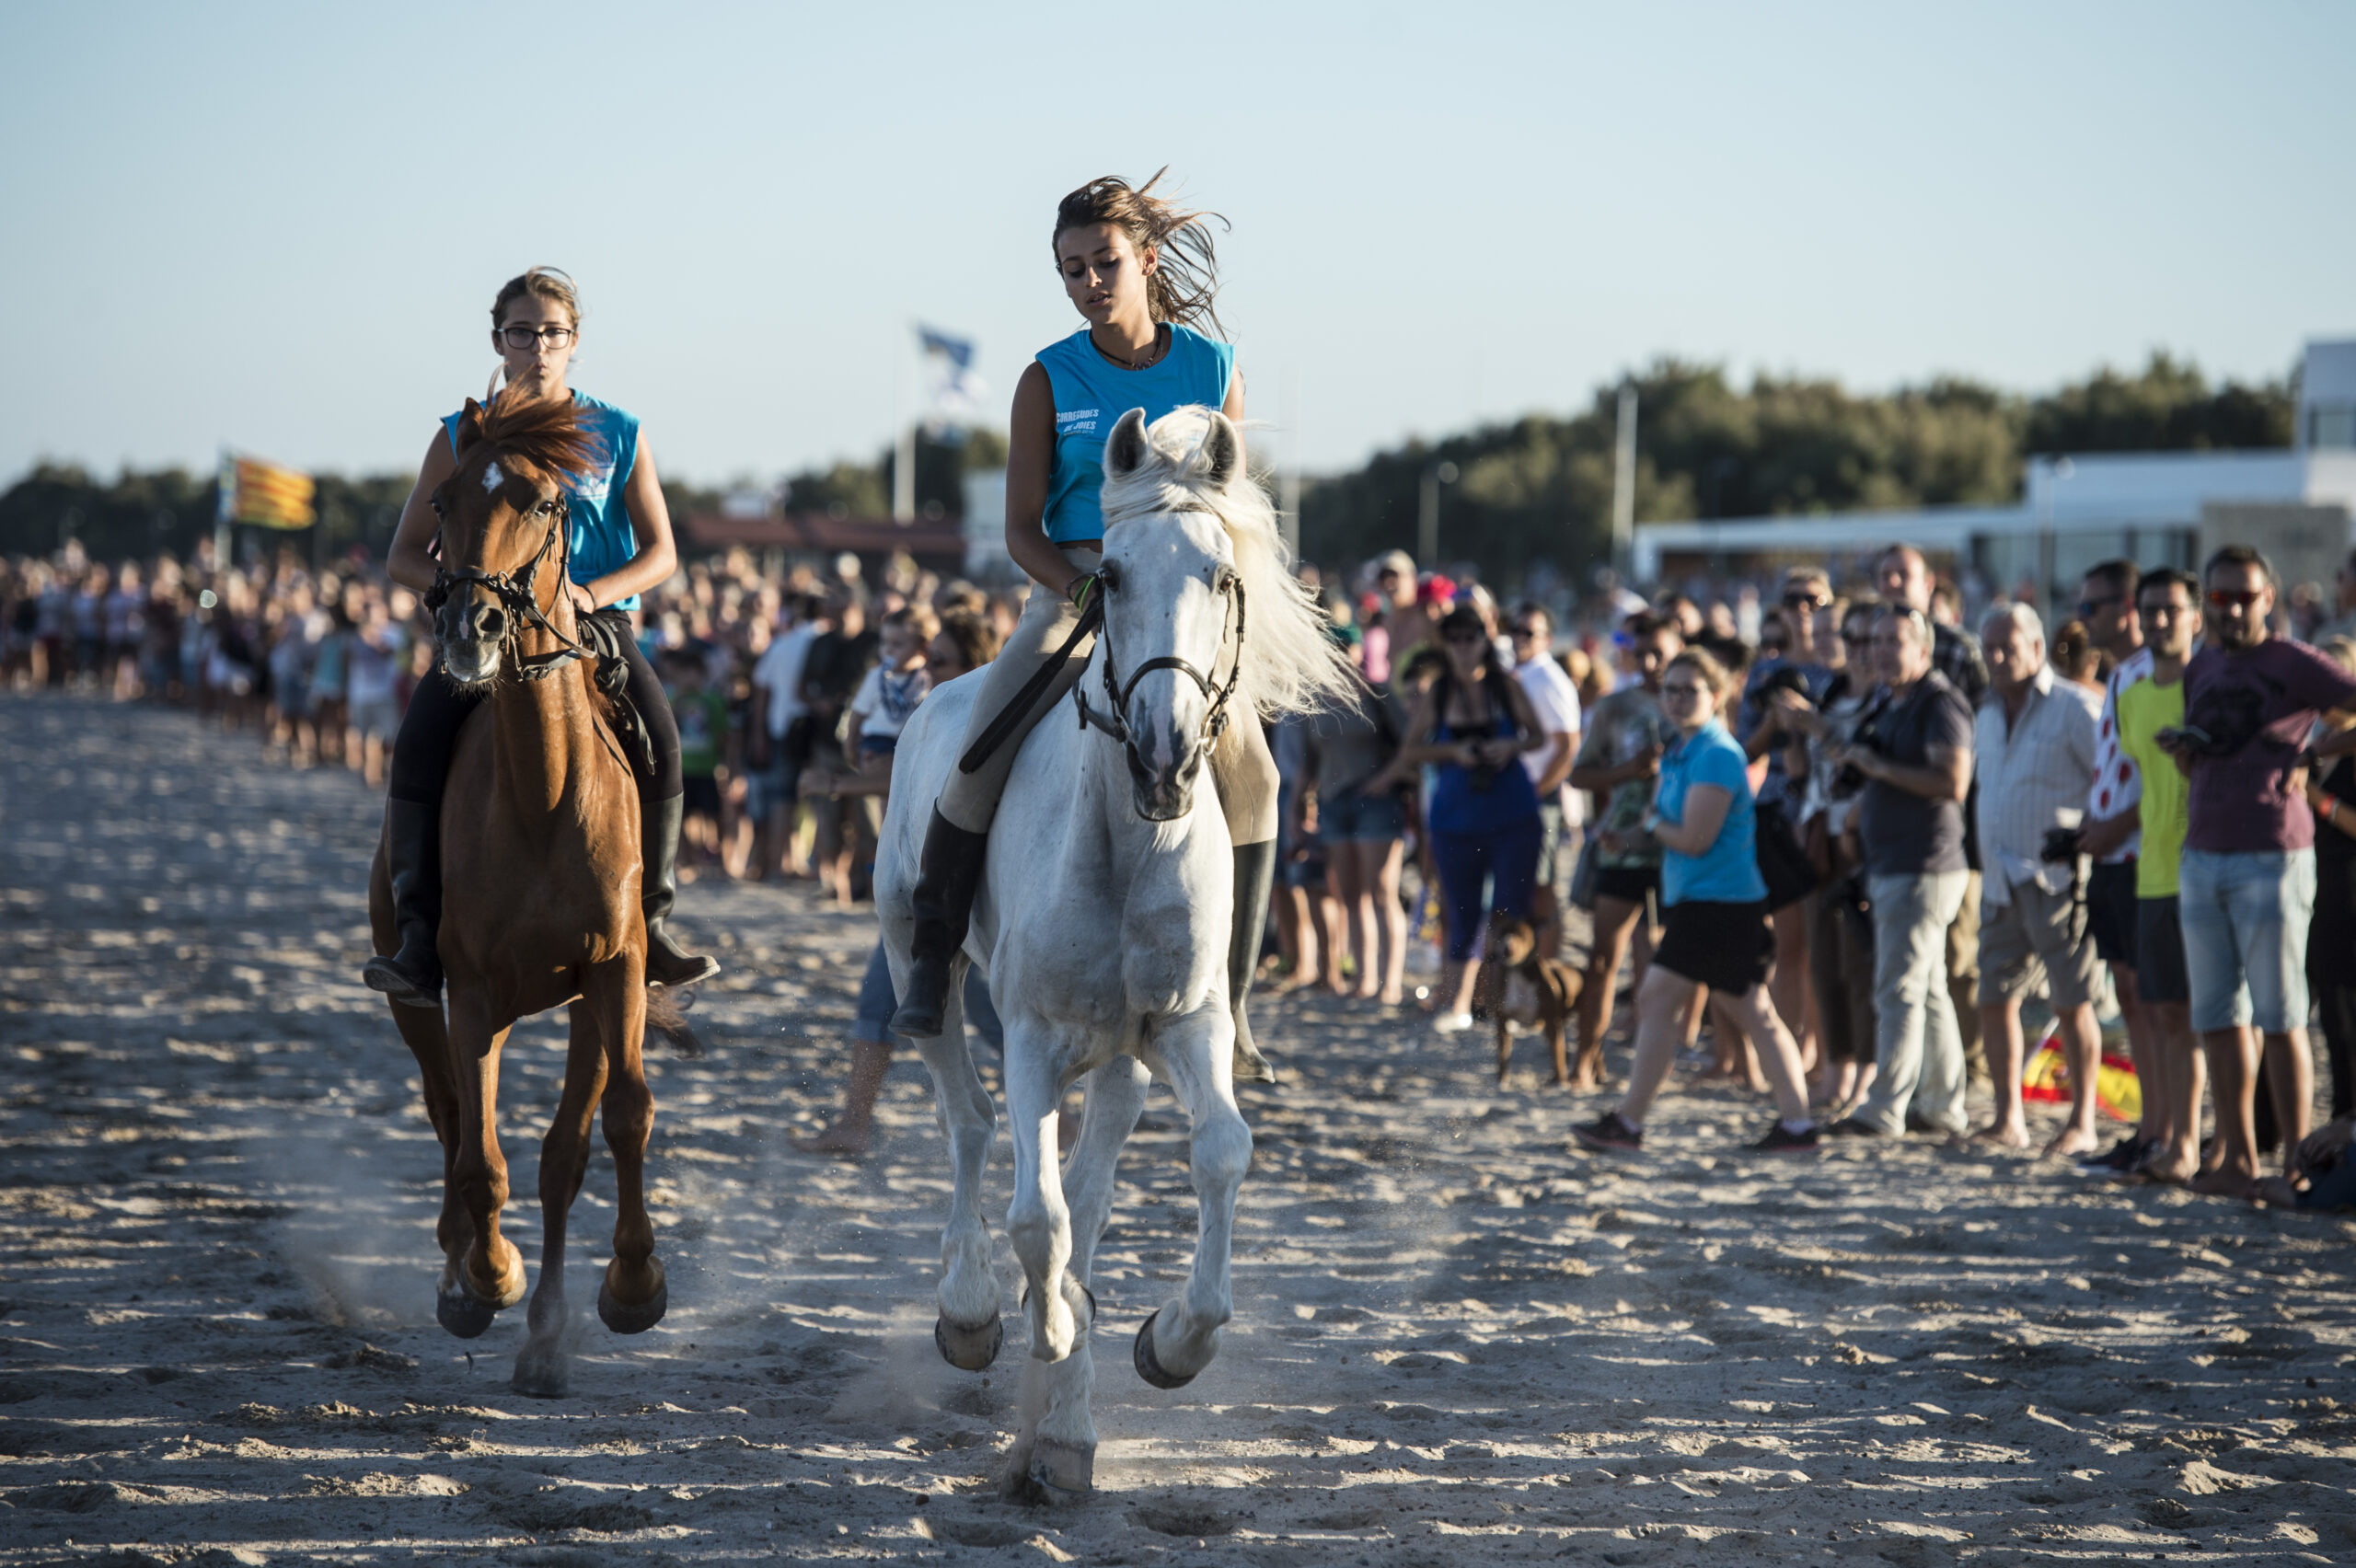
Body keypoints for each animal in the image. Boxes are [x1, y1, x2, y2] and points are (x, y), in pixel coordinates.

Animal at [367, 390, 692, 1393]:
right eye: (441, 503)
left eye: (548, 504)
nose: (470, 629)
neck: (545, 796)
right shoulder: (469, 991)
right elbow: (479, 1159)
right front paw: (487, 1276)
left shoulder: (615, 971)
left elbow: (619, 1120)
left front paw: (632, 1288)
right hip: (423, 996)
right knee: (449, 1119)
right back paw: (465, 1276)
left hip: (583, 1000)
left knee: (561, 1153)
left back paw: (547, 1335)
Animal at [876, 402, 1357, 1506]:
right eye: (1116, 577)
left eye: (1221, 577)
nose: (1166, 754)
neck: (1132, 840)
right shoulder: (1033, 1038)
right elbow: (1035, 1217)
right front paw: (1046, 1323)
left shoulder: (1188, 1025)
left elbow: (1220, 1152)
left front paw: (1169, 1344)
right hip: (917, 958)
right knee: (968, 1123)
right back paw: (975, 1314)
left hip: (1126, 1055)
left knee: (1088, 1190)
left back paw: (1062, 1426)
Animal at [1479, 908, 1592, 1082]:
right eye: (1502, 933)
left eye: (1523, 935)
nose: (1508, 949)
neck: (1518, 973)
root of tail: (1580, 970)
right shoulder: (1503, 1021)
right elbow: (1503, 1054)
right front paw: (1502, 1080)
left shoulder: (1551, 1021)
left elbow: (1558, 1054)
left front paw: (1562, 1082)